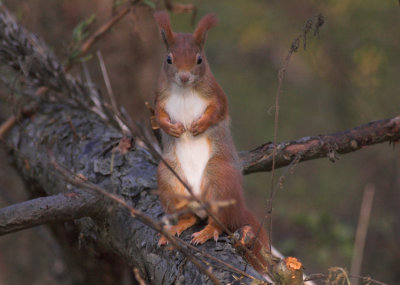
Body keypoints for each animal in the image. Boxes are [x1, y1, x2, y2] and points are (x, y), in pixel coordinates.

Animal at [154, 12, 272, 272]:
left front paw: (198, 125)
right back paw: (178, 226)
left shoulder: (216, 93)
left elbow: (218, 110)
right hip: (169, 180)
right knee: (191, 216)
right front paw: (173, 128)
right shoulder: (158, 98)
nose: (184, 76)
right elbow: (157, 117)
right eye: (168, 59)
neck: (185, 91)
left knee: (220, 222)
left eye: (199, 59)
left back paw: (206, 232)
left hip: (219, 178)